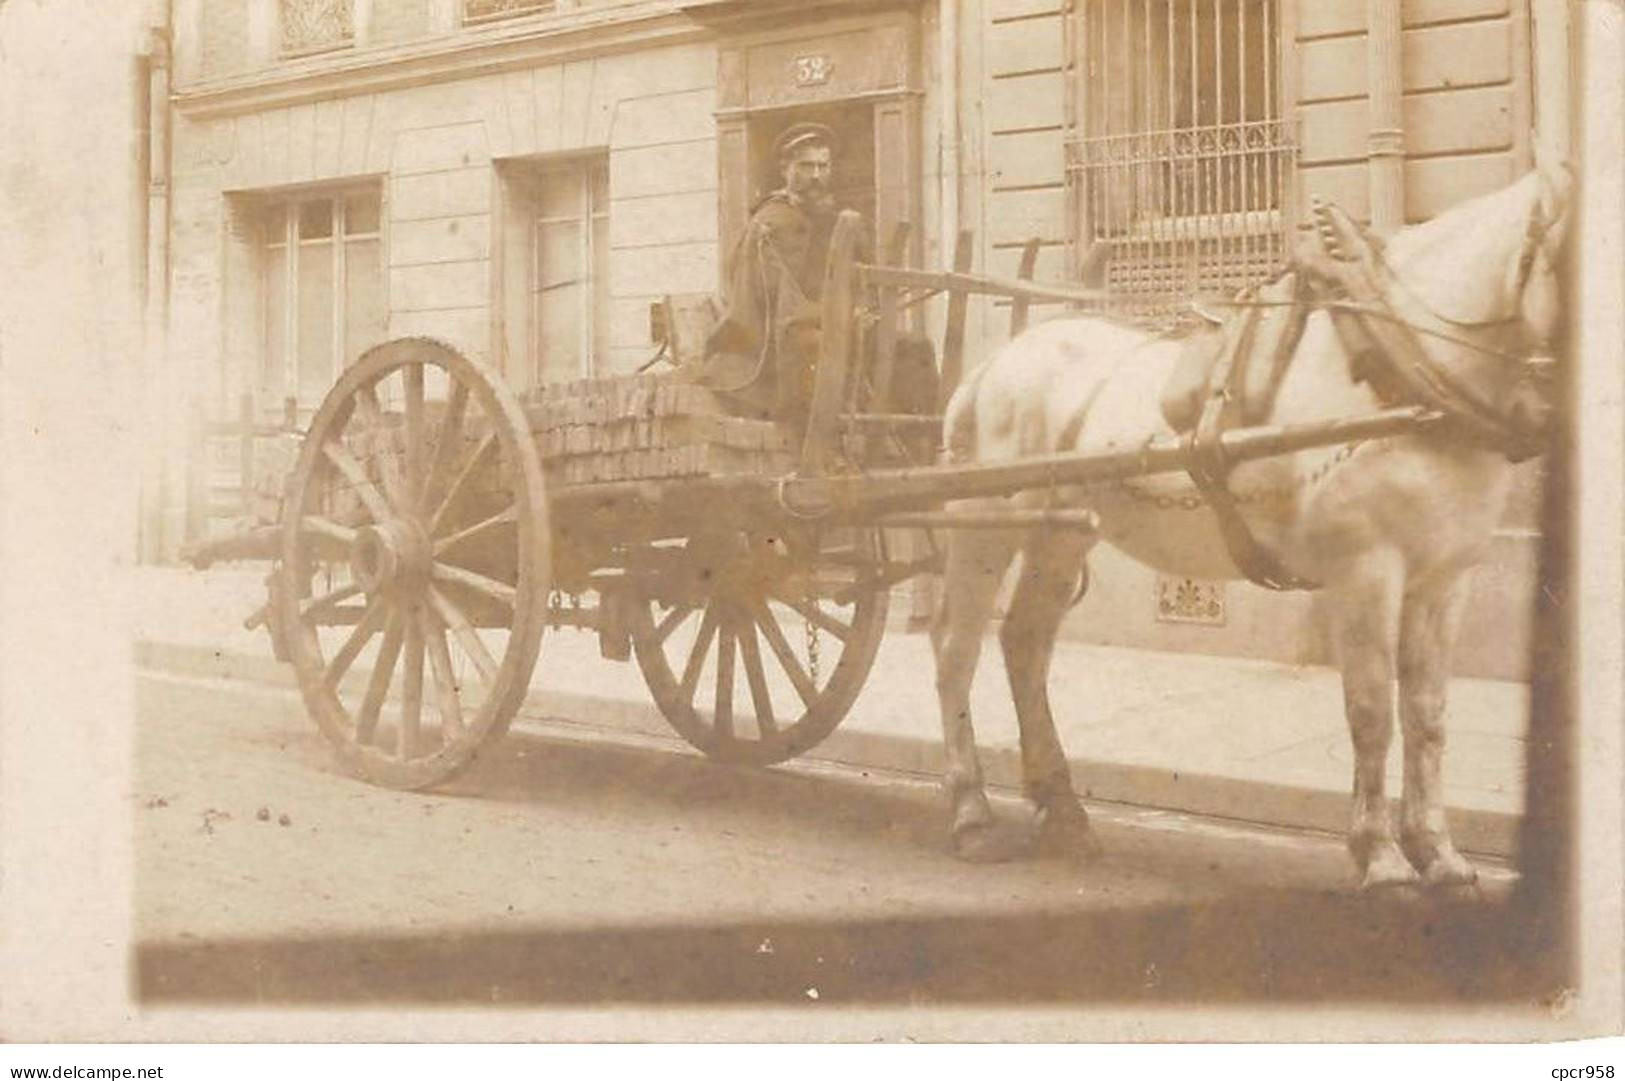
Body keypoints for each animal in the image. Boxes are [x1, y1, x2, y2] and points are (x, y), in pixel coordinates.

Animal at [936, 169, 1566, 884]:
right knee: (956, 649)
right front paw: (1379, 855)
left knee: (1024, 643)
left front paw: (1438, 852)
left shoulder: (1445, 579)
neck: (1401, 373)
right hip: (986, 525)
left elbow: (1428, 714)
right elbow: (1372, 710)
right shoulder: (1364, 571)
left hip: (1059, 534)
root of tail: (994, 364)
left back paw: (1063, 811)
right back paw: (971, 811)